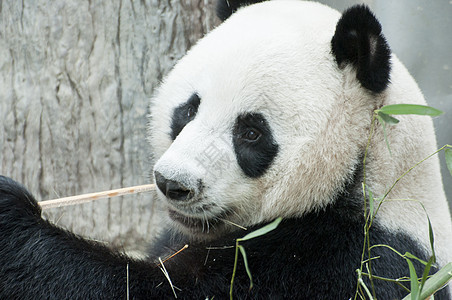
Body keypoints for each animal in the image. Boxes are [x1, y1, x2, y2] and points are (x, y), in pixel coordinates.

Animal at [0, 1, 452, 298]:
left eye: (250, 132)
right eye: (188, 109)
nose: (173, 184)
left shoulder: (347, 260)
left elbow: (153, 288)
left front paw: (12, 215)